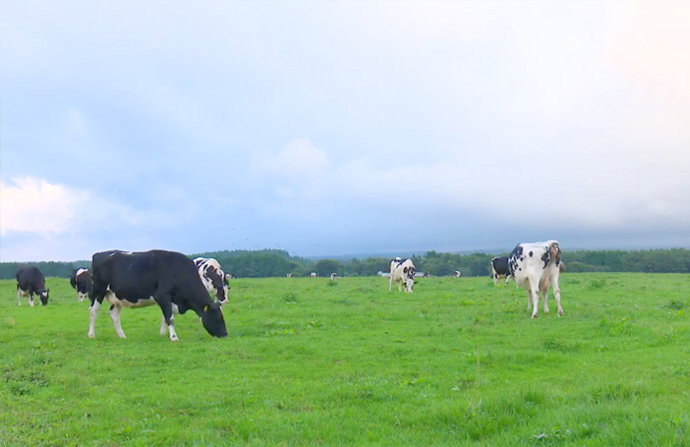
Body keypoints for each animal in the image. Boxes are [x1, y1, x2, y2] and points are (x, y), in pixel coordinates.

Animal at [87, 250, 227, 342]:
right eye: (217, 317)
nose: (225, 334)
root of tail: (99, 254)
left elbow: (165, 317)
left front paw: (163, 334)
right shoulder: (162, 296)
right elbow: (170, 318)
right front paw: (174, 337)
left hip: (117, 297)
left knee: (114, 314)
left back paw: (122, 336)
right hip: (99, 290)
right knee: (94, 311)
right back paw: (91, 334)